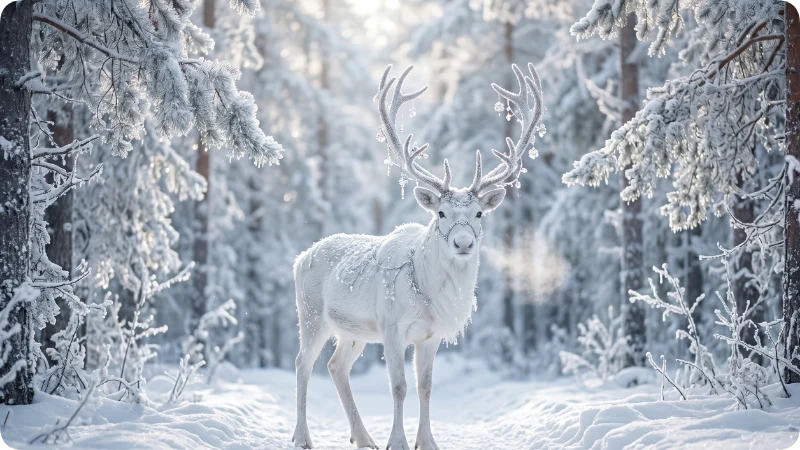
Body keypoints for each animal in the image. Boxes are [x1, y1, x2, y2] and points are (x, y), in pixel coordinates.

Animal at [292, 63, 543, 450]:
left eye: (479, 214)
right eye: (440, 213)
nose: (463, 243)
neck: (429, 294)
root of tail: (301, 258)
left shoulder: (431, 335)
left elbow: (425, 387)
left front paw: (427, 442)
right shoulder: (392, 327)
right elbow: (399, 386)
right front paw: (397, 442)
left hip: (354, 330)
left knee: (336, 366)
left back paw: (363, 437)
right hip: (311, 313)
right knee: (303, 364)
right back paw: (303, 436)